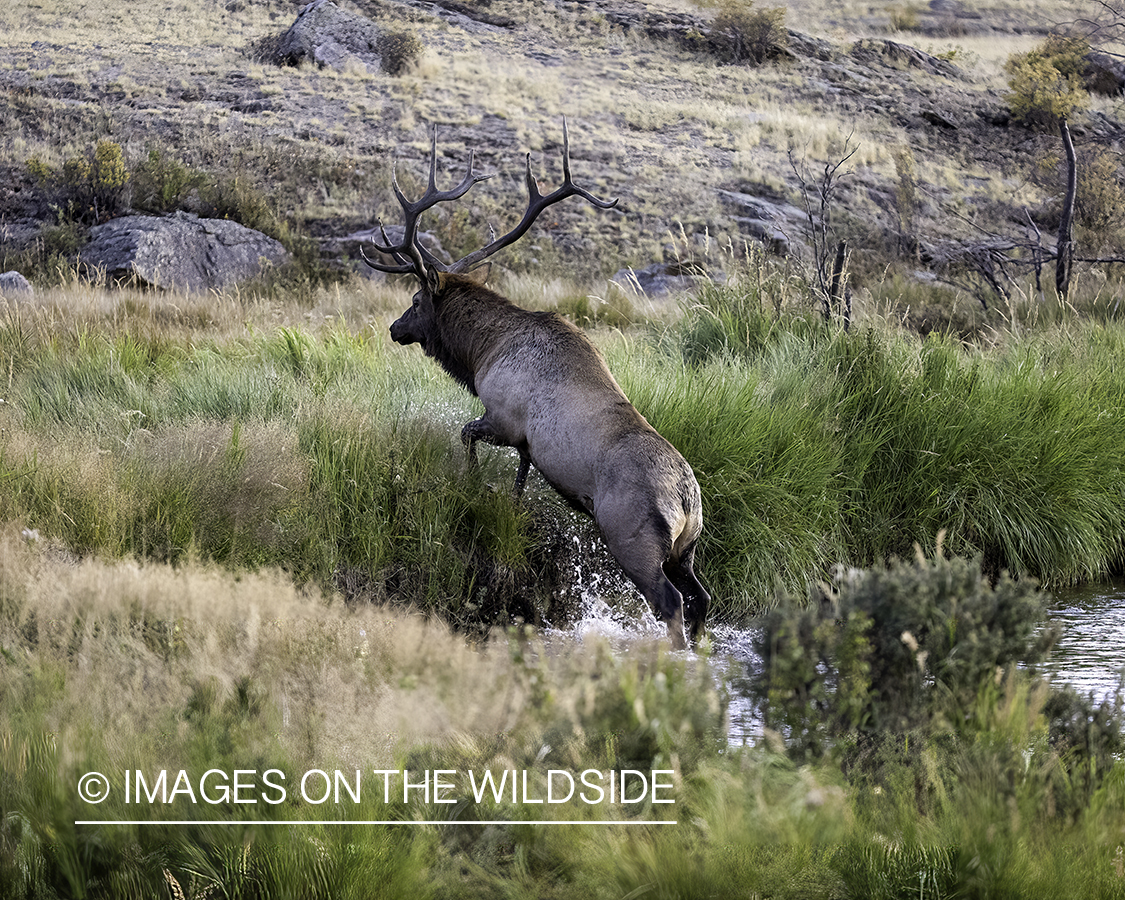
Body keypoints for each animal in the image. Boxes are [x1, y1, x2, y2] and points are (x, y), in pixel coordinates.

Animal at [364, 124, 706, 648]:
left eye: (417, 299)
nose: (394, 328)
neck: (482, 352)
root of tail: (687, 501)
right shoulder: (526, 442)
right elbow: (522, 474)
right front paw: (510, 502)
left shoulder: (504, 416)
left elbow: (467, 435)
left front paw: (473, 482)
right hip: (685, 549)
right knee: (701, 598)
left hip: (632, 535)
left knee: (670, 602)